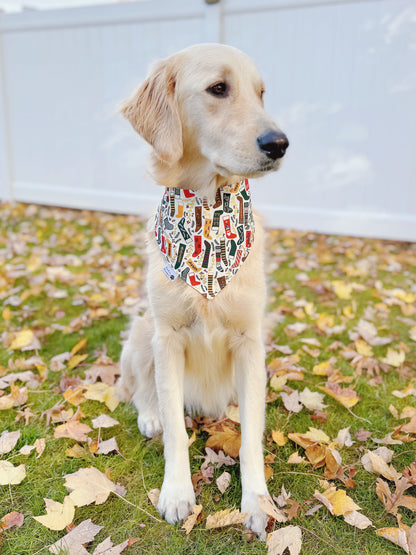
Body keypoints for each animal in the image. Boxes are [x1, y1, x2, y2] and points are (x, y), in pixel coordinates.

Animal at [115, 43, 288, 540]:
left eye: (261, 93)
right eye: (218, 88)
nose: (279, 144)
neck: (209, 211)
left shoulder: (251, 342)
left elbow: (250, 439)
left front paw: (256, 502)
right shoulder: (168, 337)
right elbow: (176, 430)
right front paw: (177, 493)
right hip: (142, 332)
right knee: (140, 390)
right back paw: (149, 414)